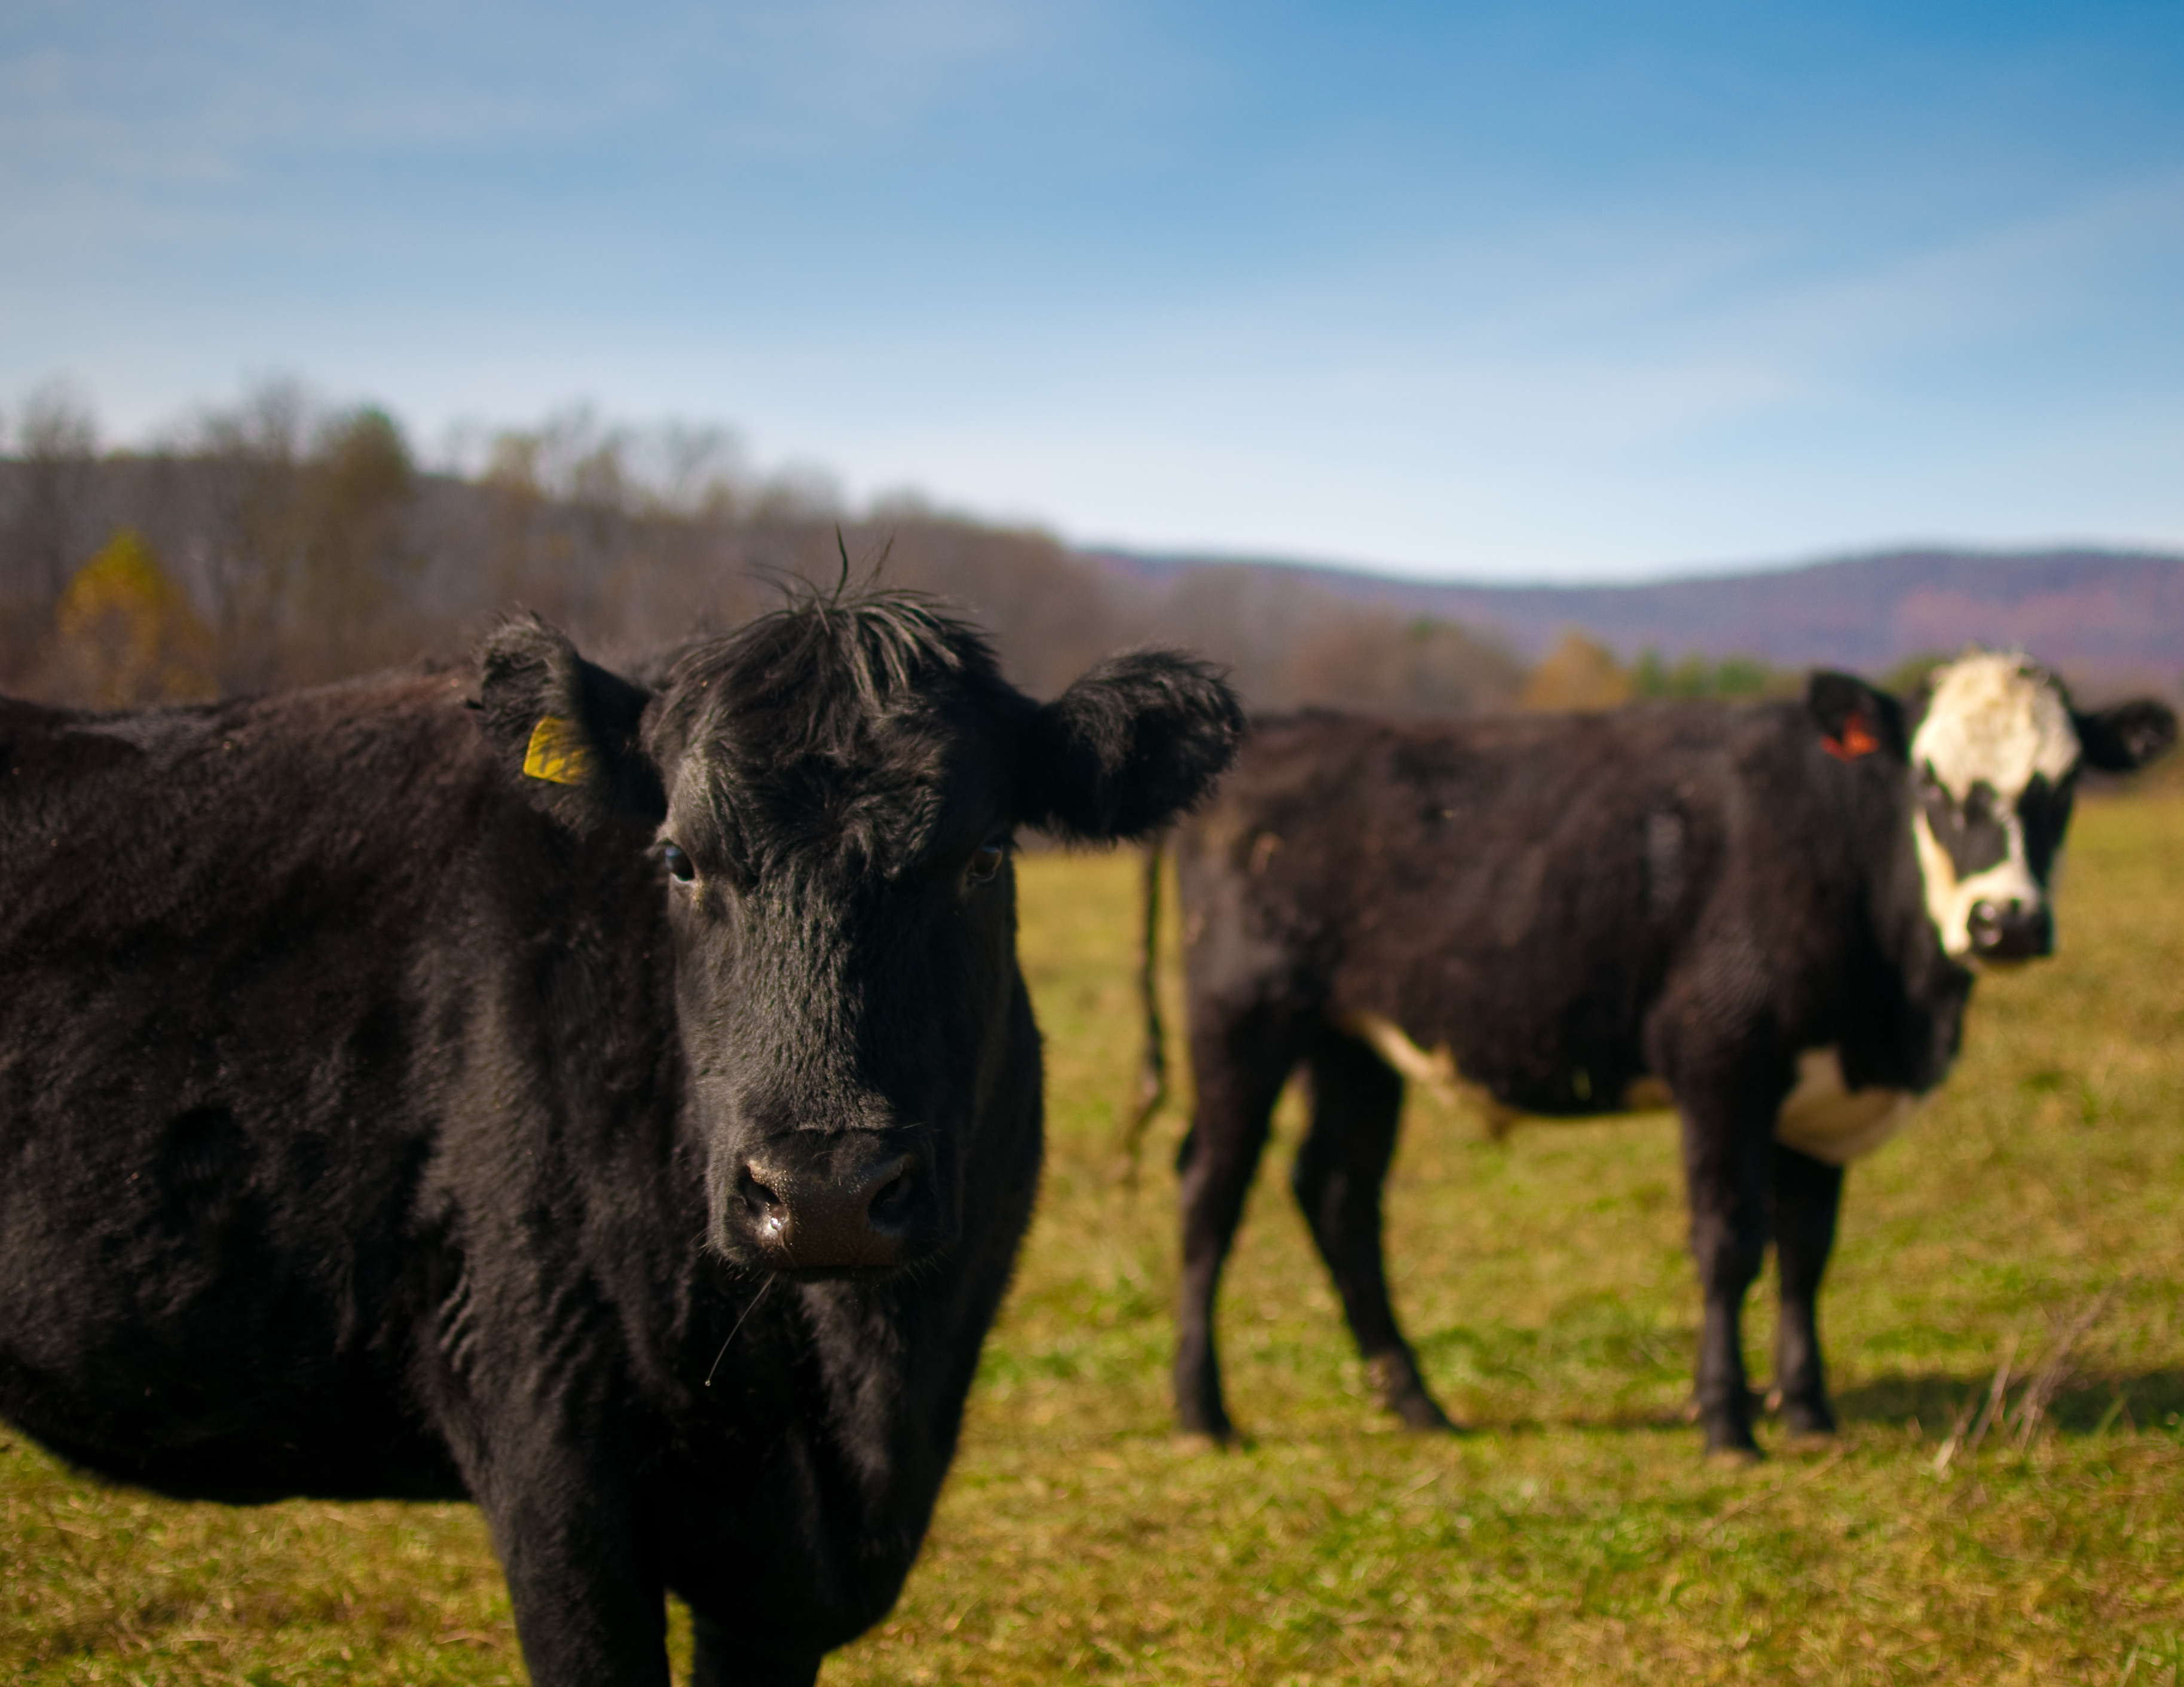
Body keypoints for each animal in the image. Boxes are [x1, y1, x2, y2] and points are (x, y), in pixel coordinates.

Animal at [0, 590, 1242, 1685]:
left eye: (984, 854)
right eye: (680, 859)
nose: (823, 1190)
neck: (849, 1386)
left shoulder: (787, 1574)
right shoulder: (555, 1464)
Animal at [1151, 652, 2173, 1458]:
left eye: (2063, 787)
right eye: (1927, 784)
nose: (2005, 921)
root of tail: (1278, 728)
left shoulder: (1817, 1100)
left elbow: (1807, 1254)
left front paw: (1809, 1413)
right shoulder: (1720, 1063)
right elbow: (1729, 1243)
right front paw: (1727, 1422)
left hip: (1352, 1042)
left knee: (1337, 1193)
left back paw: (1414, 1401)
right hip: (1242, 1019)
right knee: (1210, 1190)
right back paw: (1204, 1412)